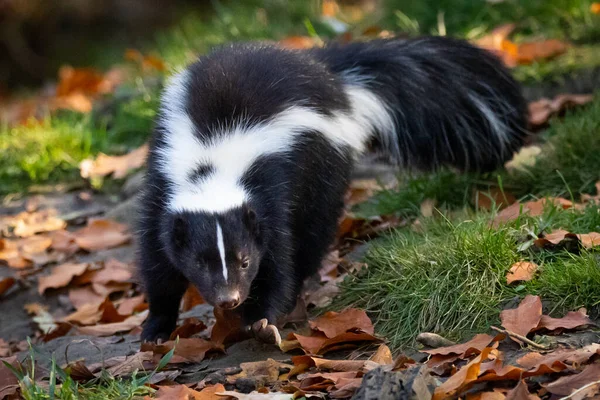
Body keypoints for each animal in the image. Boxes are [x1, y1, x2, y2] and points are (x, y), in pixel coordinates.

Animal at [138, 36, 528, 344]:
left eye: (245, 261)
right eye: (200, 263)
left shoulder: (274, 183)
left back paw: (297, 291)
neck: (214, 163)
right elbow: (157, 258)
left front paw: (262, 321)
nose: (229, 299)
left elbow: (279, 257)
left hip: (327, 165)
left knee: (313, 234)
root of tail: (328, 75)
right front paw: (156, 327)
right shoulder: (163, 177)